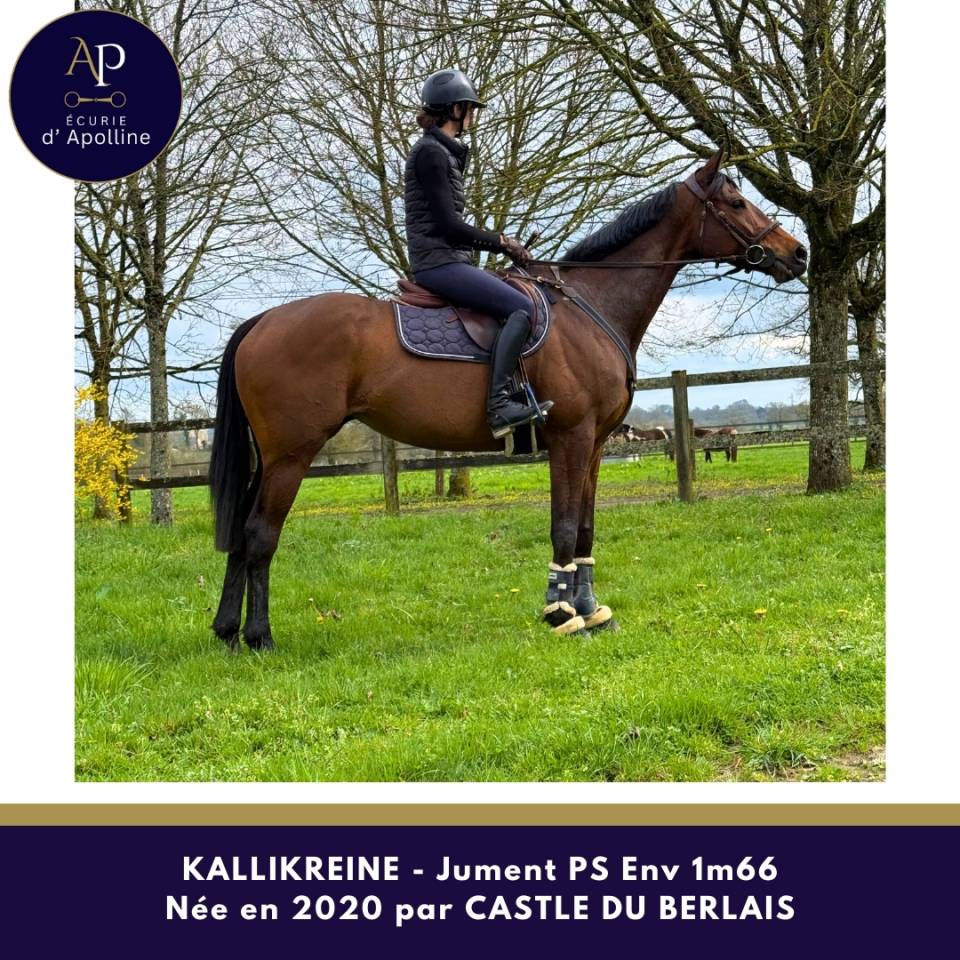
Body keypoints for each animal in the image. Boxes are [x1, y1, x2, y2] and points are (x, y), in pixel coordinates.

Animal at [208, 149, 806, 650]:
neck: (589, 307)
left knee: (240, 534)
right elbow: (562, 525)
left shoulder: (594, 444)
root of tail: (263, 320)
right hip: (292, 453)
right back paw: (259, 637)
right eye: (736, 202)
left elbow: (585, 525)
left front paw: (590, 609)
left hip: (271, 457)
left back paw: (227, 631)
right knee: (260, 535)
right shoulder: (571, 437)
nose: (796, 252)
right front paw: (560, 614)